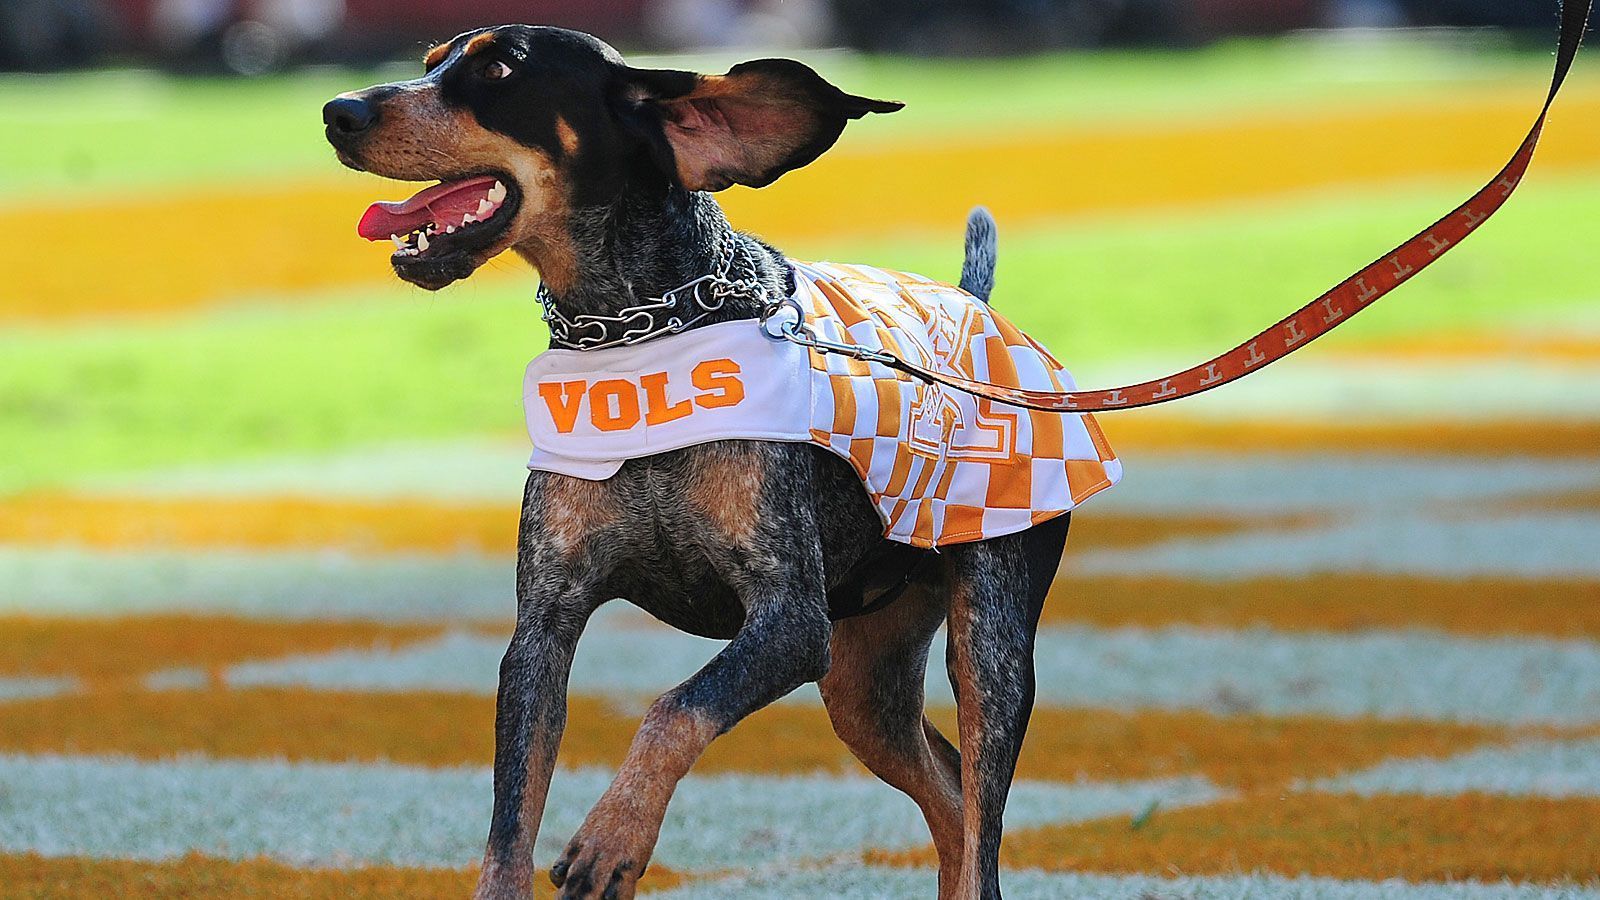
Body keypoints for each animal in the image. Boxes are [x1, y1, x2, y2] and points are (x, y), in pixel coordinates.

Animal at [321, 24, 1088, 890]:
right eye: (432, 62)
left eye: (499, 67)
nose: (338, 112)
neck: (635, 330)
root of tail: (979, 307)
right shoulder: (541, 632)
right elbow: (509, 827)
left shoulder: (791, 622)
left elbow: (674, 708)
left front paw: (614, 835)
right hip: (863, 685)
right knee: (953, 799)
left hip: (987, 646)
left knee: (982, 815)